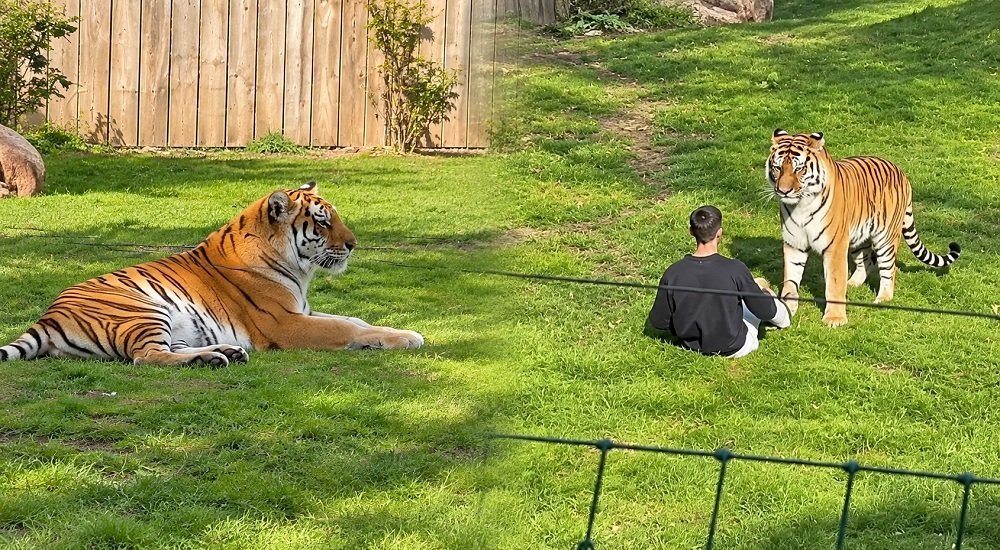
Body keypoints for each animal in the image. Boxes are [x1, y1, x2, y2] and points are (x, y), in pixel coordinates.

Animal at [0, 181, 424, 366]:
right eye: (322, 221)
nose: (353, 244)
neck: (297, 269)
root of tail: (48, 316)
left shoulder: (302, 310)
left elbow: (356, 319)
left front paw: (400, 333)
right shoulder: (286, 322)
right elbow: (346, 328)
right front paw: (409, 338)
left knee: (169, 349)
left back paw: (225, 352)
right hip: (143, 310)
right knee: (147, 358)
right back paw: (212, 360)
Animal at [766, 129, 960, 327]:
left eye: (799, 169)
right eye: (778, 168)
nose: (783, 191)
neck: (801, 206)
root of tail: (901, 172)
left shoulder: (835, 246)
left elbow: (834, 283)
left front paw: (835, 318)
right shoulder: (794, 244)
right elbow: (790, 281)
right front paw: (787, 309)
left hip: (886, 238)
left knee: (888, 269)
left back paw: (883, 299)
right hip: (860, 237)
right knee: (866, 261)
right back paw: (852, 283)